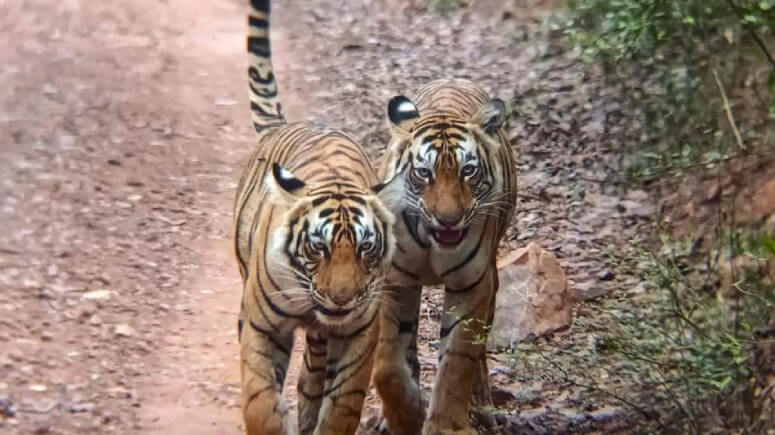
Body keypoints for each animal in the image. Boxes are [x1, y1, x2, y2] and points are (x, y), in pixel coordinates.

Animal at [233, 1, 404, 434]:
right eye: (317, 248)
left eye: (366, 249)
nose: (341, 299)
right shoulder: (261, 326)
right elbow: (260, 400)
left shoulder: (360, 332)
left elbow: (342, 405)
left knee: (312, 377)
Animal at [374, 79, 520, 435]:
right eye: (423, 172)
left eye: (468, 171)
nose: (449, 220)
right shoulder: (394, 282)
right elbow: (387, 362)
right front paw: (406, 415)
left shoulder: (473, 285)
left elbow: (457, 361)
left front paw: (444, 425)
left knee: (479, 358)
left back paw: (483, 408)